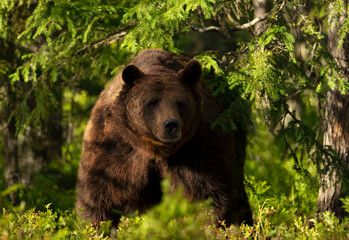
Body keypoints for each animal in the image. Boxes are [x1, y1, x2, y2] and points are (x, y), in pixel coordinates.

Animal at [75, 48, 251, 227]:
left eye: (180, 102)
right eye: (152, 102)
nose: (171, 125)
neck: (154, 148)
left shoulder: (198, 146)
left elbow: (208, 193)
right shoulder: (115, 147)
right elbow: (100, 195)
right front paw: (97, 225)